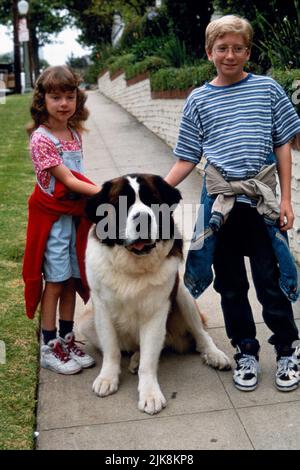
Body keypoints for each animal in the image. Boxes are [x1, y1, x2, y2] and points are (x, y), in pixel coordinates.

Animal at [79, 173, 230, 414]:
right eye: (120, 202)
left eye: (153, 200)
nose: (142, 218)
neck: (133, 266)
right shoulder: (101, 306)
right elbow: (111, 348)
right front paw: (107, 378)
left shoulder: (157, 311)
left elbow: (150, 359)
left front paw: (150, 394)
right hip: (85, 320)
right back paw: (134, 358)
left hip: (183, 295)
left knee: (199, 335)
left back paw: (214, 354)